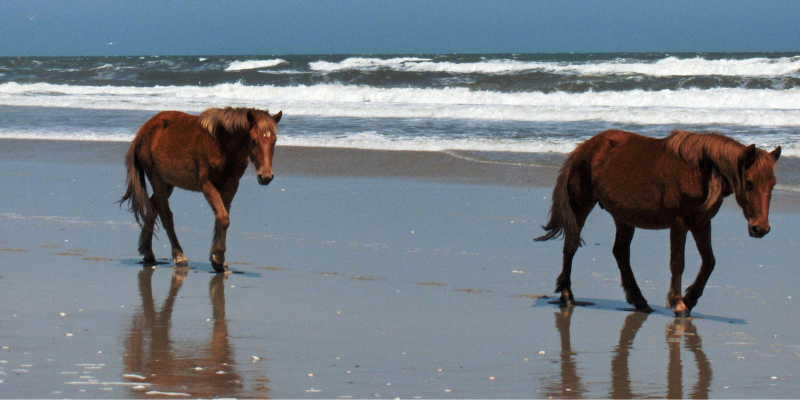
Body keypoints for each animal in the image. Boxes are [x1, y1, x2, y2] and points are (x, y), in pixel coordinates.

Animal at [119, 107, 282, 272]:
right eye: (253, 140)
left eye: (274, 141)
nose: (265, 176)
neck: (222, 146)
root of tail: (143, 130)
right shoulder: (207, 185)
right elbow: (223, 218)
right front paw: (218, 259)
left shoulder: (231, 187)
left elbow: (221, 218)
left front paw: (217, 259)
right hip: (156, 179)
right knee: (165, 215)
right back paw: (179, 256)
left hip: (168, 183)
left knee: (153, 209)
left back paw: (147, 252)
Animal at [535, 129, 781, 317]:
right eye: (749, 182)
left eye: (773, 184)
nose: (761, 228)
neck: (699, 171)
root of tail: (584, 148)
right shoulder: (680, 224)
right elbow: (678, 263)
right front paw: (679, 303)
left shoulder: (701, 223)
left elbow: (709, 262)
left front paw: (690, 298)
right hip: (581, 206)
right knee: (571, 247)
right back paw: (567, 295)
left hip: (623, 218)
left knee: (620, 253)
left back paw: (639, 301)